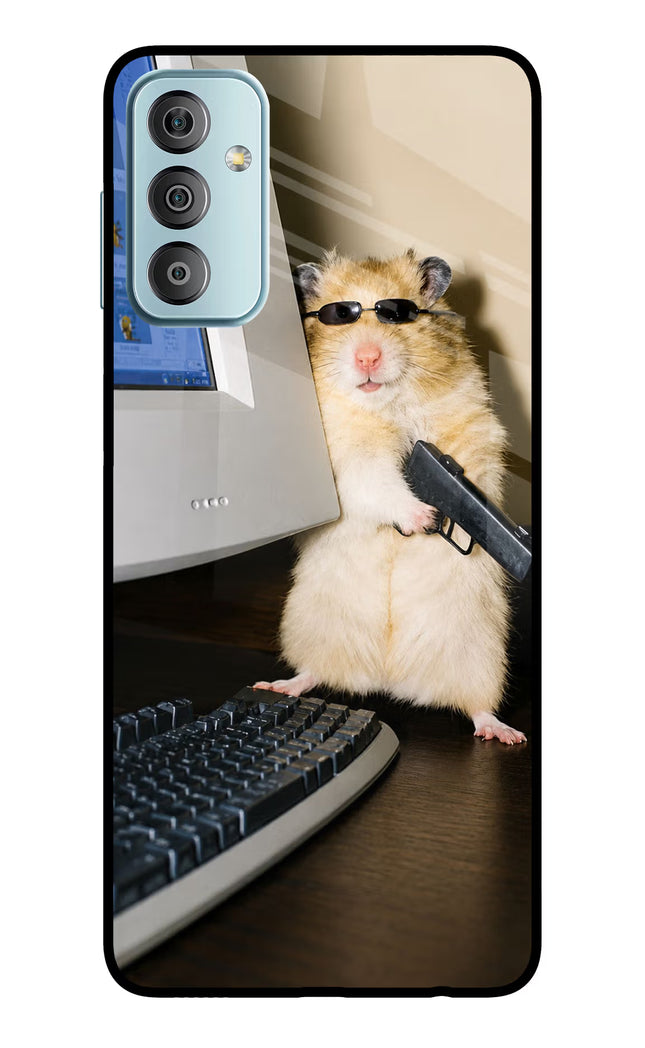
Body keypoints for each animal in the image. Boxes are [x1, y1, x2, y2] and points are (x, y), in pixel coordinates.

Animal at [255, 249, 526, 744]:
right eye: (339, 316)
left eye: (396, 314)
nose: (367, 357)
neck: (386, 404)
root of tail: (388, 679)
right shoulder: (347, 459)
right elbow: (378, 482)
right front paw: (423, 518)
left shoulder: (472, 429)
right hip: (311, 626)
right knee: (314, 672)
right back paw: (279, 685)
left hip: (479, 654)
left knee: (477, 706)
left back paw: (504, 733)